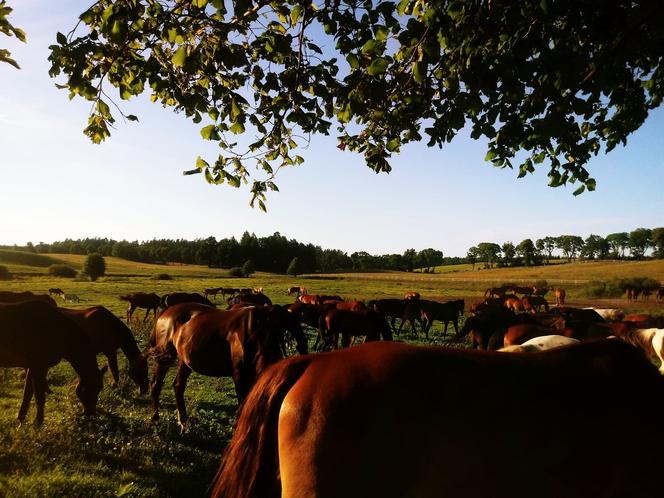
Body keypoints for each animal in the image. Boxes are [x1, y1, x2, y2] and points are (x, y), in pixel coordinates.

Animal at [149, 302, 308, 430]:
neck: (258, 336)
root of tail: (166, 312)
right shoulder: (239, 376)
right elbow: (242, 403)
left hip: (185, 362)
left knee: (178, 385)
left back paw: (183, 423)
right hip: (164, 358)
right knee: (156, 384)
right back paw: (155, 418)